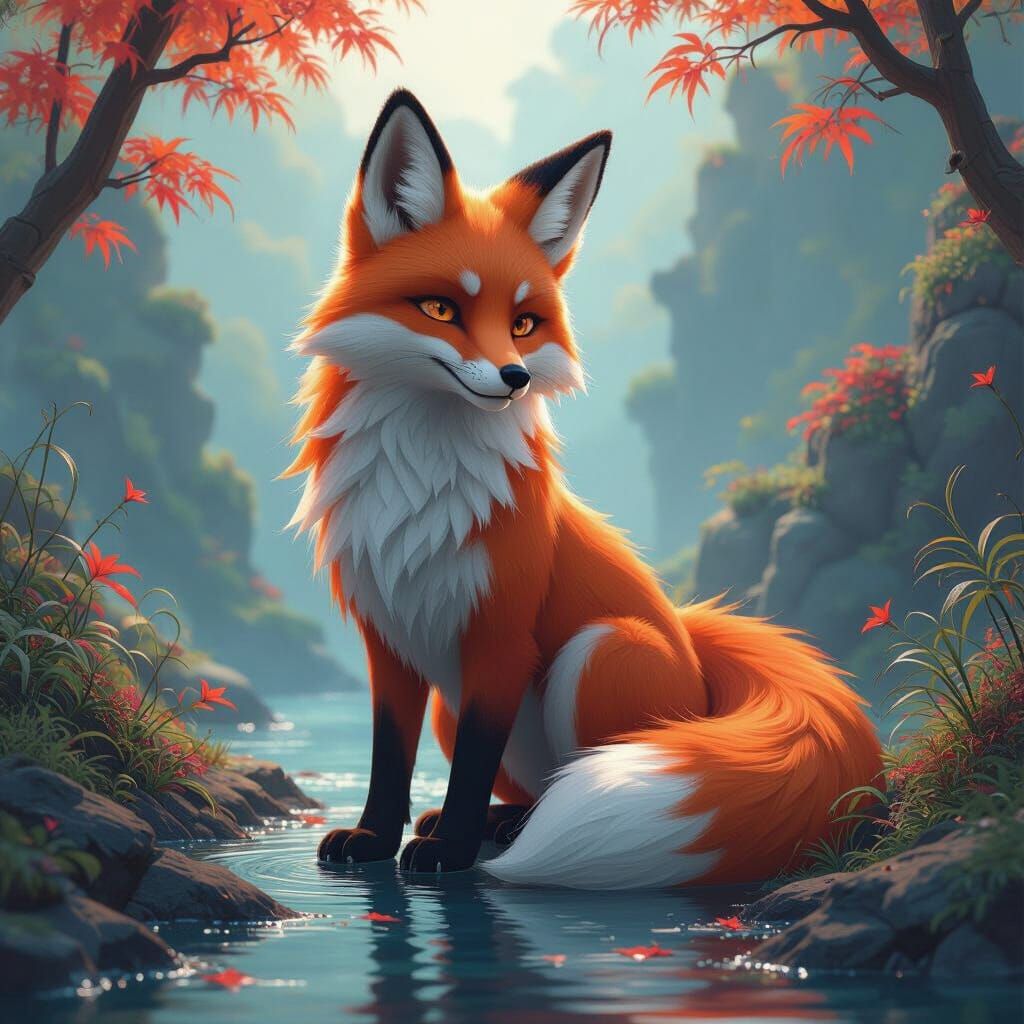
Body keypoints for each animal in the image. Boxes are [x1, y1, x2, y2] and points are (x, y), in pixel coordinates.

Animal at [285, 89, 882, 888]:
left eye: (523, 322)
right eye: (442, 309)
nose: (515, 377)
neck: (419, 489)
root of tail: (695, 657)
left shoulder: (500, 641)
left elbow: (470, 767)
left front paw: (449, 854)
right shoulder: (390, 642)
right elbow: (388, 757)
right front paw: (375, 839)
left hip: (598, 654)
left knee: (576, 777)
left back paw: (501, 831)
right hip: (467, 702)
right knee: (534, 787)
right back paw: (494, 822)